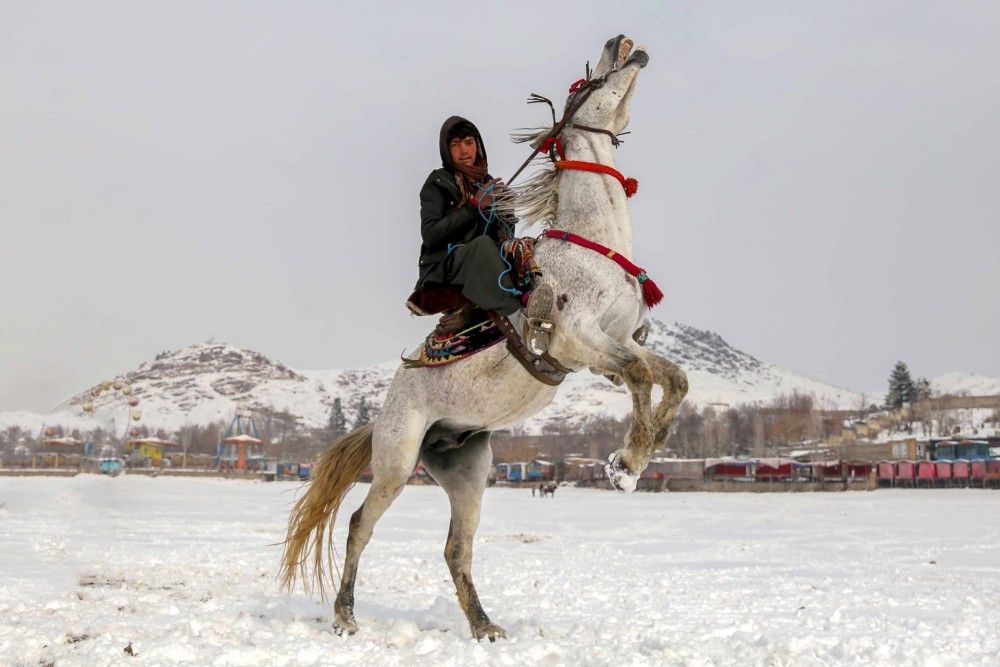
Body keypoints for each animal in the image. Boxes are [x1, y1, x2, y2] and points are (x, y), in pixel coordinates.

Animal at [282, 35, 688, 640]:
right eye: (584, 81)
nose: (623, 43)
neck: (591, 243)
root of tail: (387, 411)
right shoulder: (577, 341)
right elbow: (641, 376)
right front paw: (624, 465)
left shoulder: (617, 341)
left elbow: (673, 379)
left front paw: (636, 459)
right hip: (397, 463)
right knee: (359, 524)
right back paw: (345, 616)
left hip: (469, 474)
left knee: (456, 548)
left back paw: (484, 626)